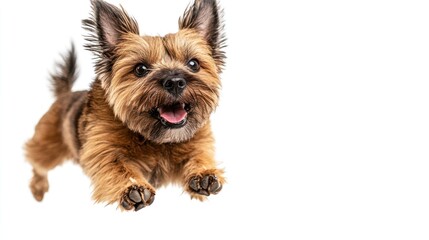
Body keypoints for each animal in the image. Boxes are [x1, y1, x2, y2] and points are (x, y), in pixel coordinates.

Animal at [24, 0, 224, 211]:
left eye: (193, 64)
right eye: (140, 69)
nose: (175, 81)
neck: (154, 139)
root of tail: (65, 94)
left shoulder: (198, 143)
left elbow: (198, 156)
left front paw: (203, 174)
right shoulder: (103, 150)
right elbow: (117, 166)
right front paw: (133, 187)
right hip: (48, 145)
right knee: (37, 162)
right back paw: (38, 187)